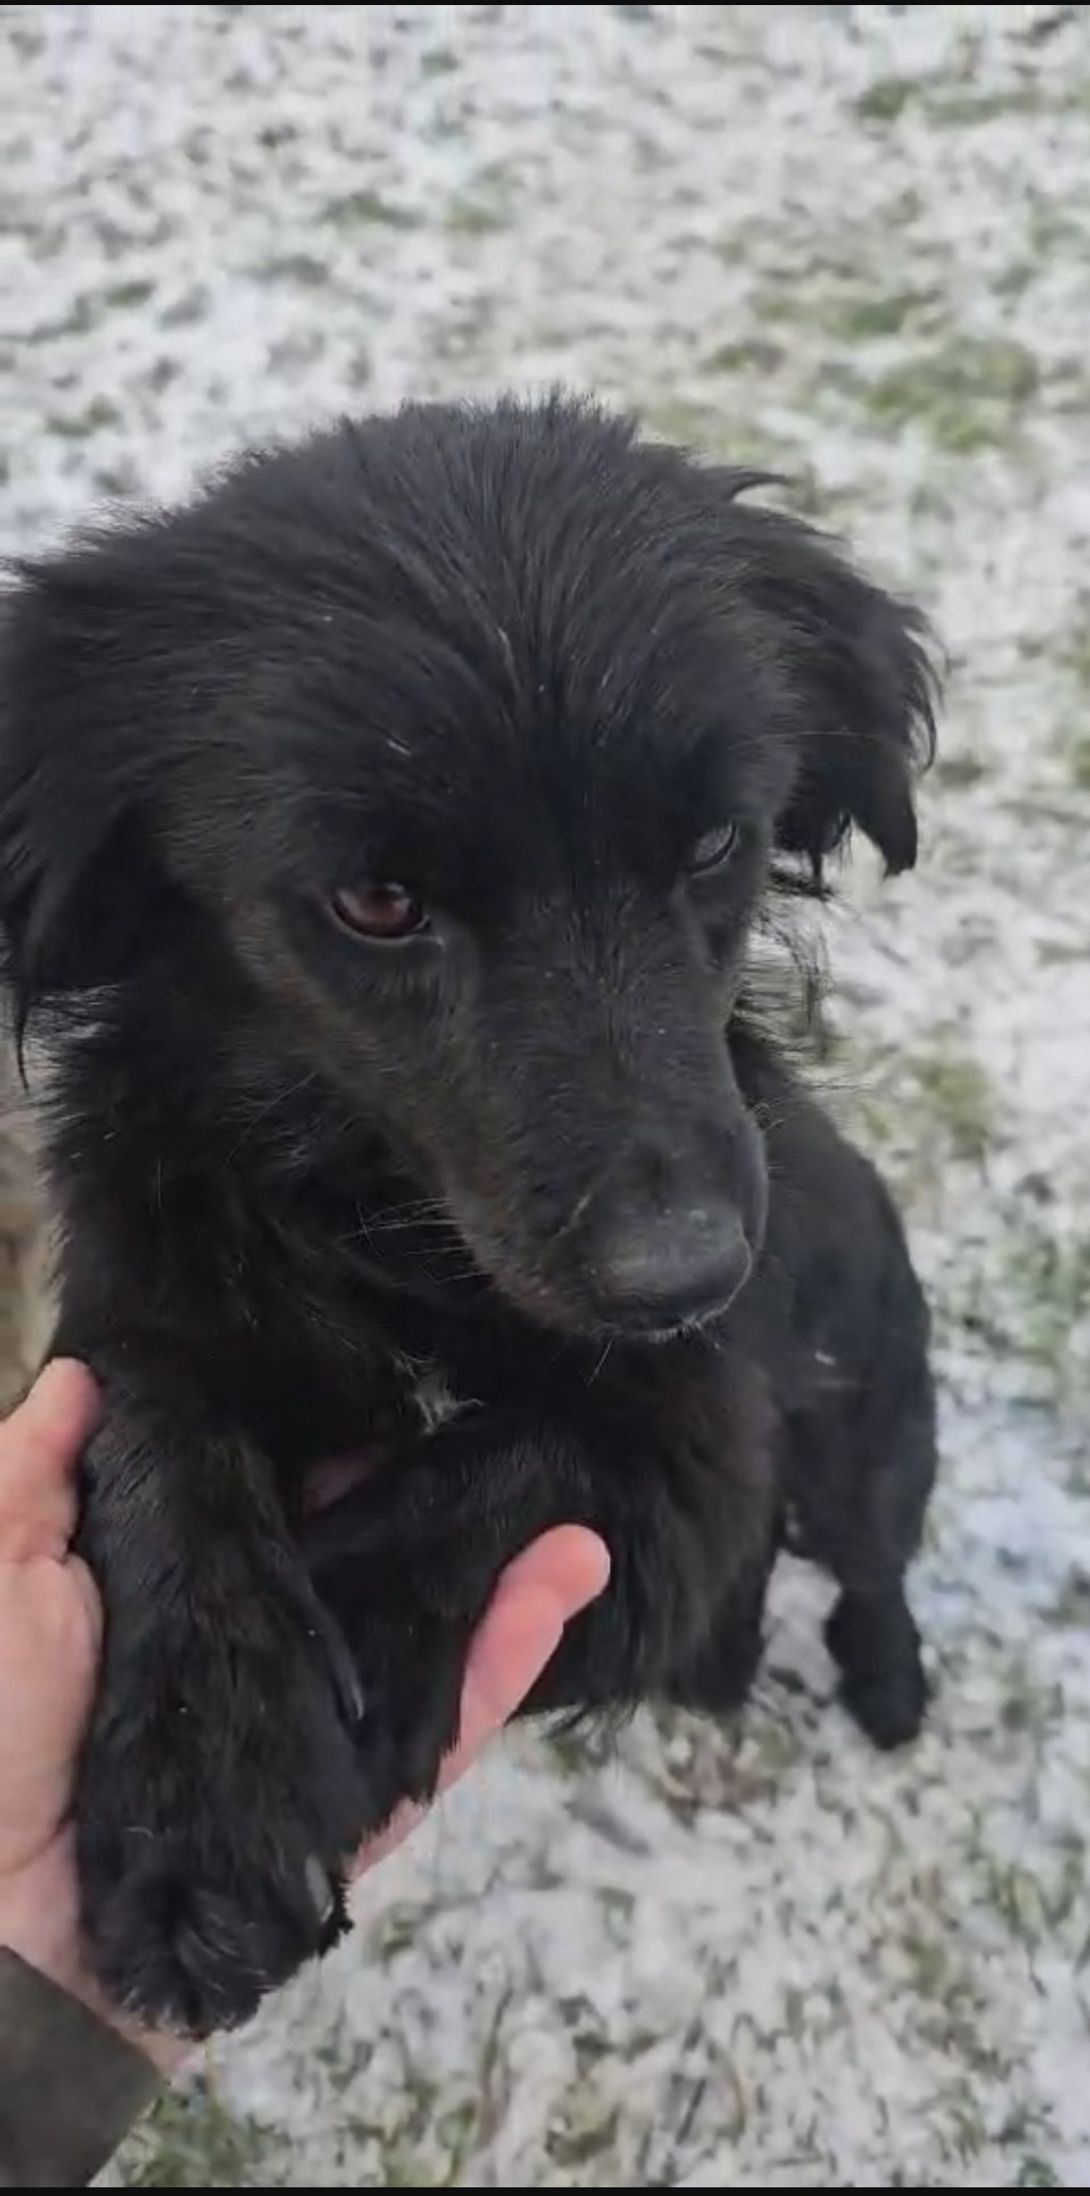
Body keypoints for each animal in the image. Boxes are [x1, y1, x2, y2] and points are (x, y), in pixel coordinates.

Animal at [0, 395, 938, 2038]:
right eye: (376, 904)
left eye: (715, 846)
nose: (684, 1276)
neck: (389, 1219)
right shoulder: (136, 1307)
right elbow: (162, 1445)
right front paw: (202, 1793)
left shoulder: (704, 1446)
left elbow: (486, 1475)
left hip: (861, 1436)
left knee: (875, 1560)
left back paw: (884, 1682)